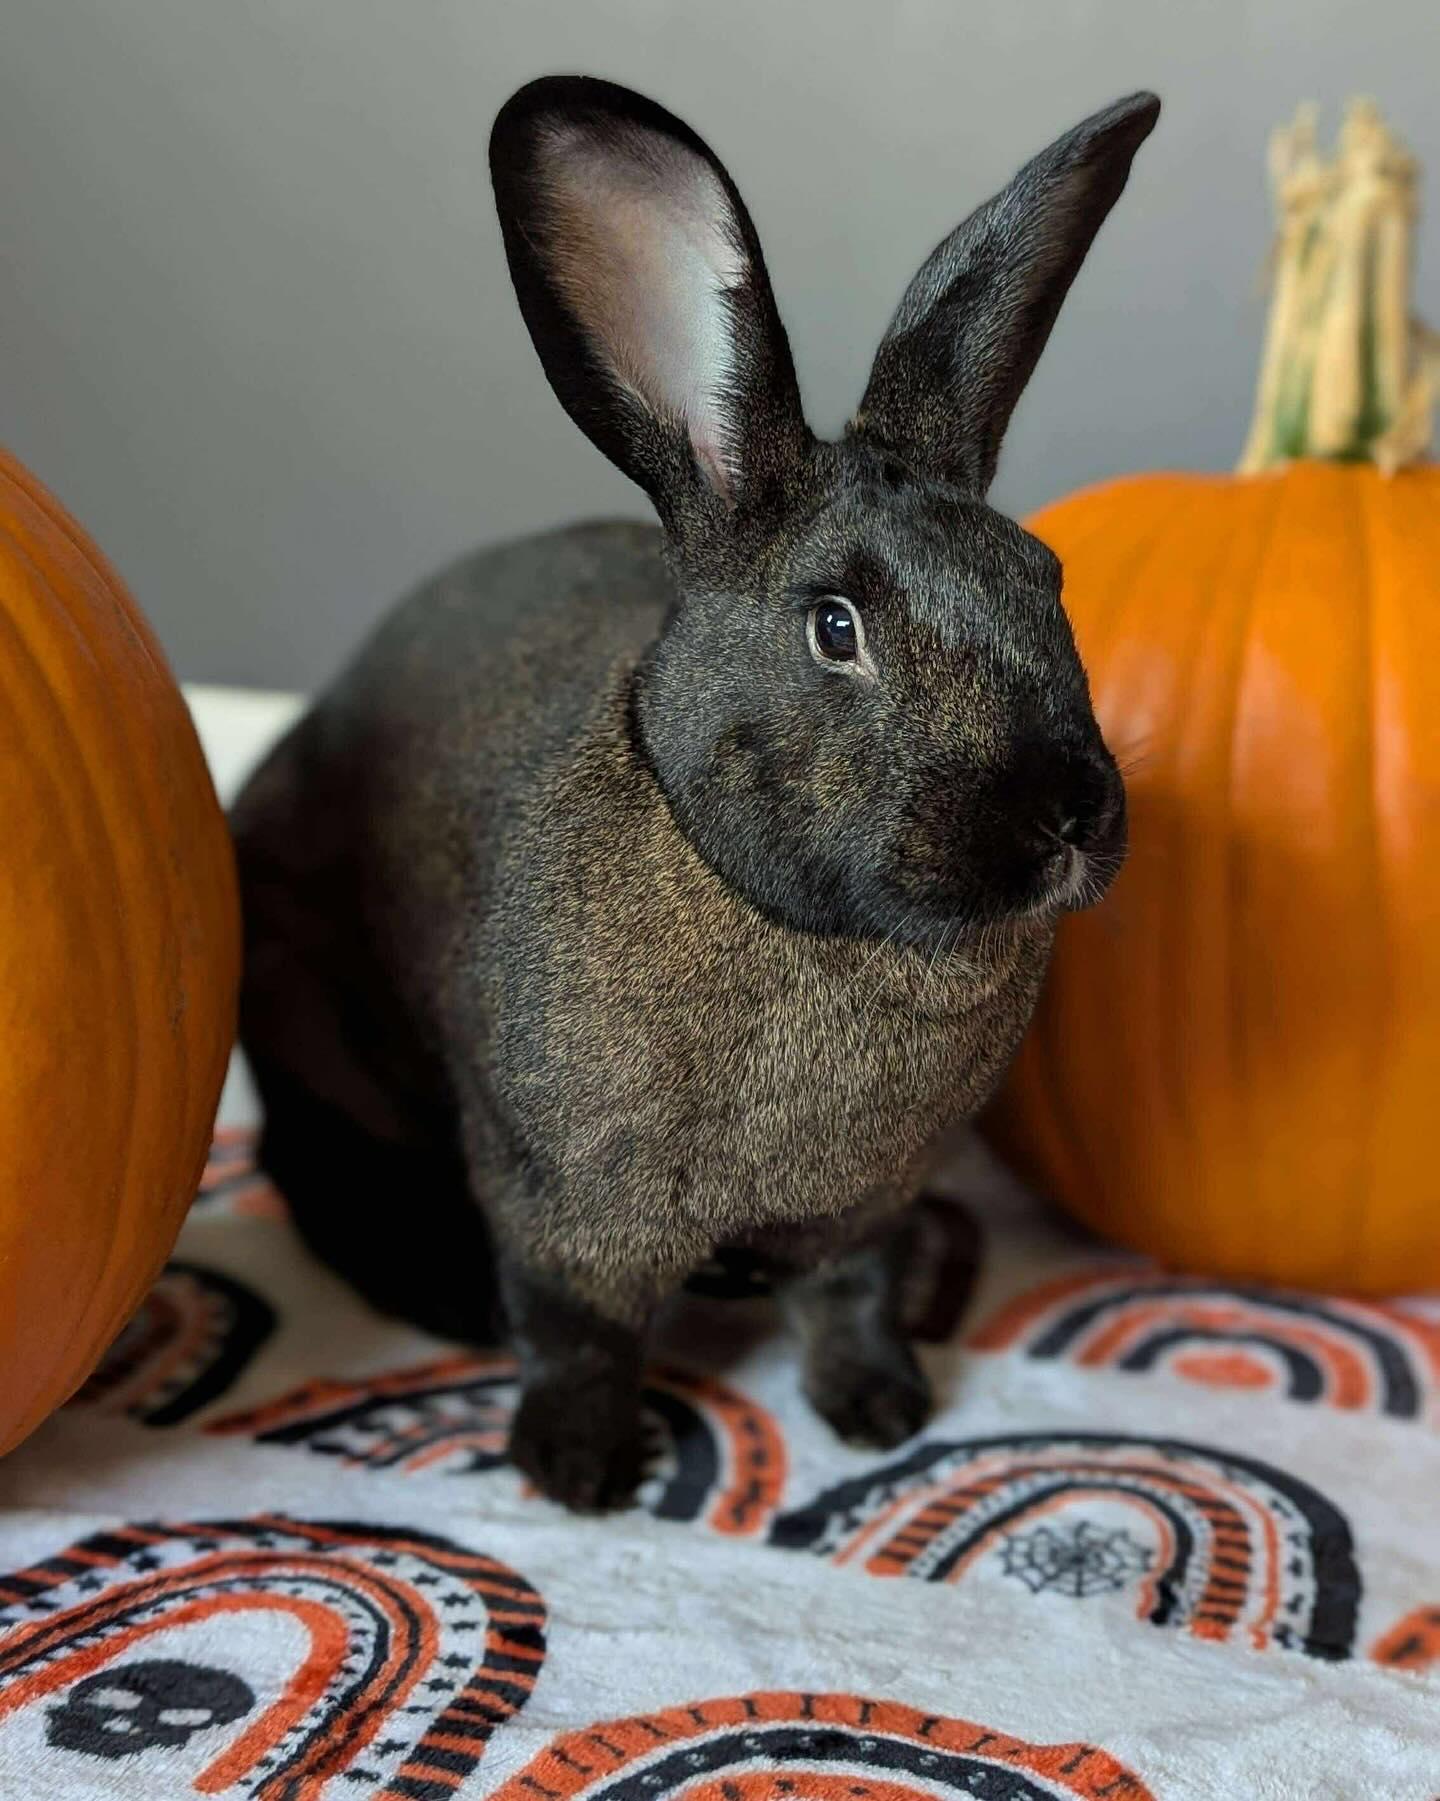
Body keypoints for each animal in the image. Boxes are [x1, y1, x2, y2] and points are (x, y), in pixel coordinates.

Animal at [232, 75, 1158, 1511]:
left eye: (1044, 580)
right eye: (836, 627)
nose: (1067, 815)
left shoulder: (860, 1208)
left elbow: (848, 1297)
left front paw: (880, 1411)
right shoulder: (560, 1206)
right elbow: (581, 1337)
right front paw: (580, 1472)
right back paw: (438, 1297)